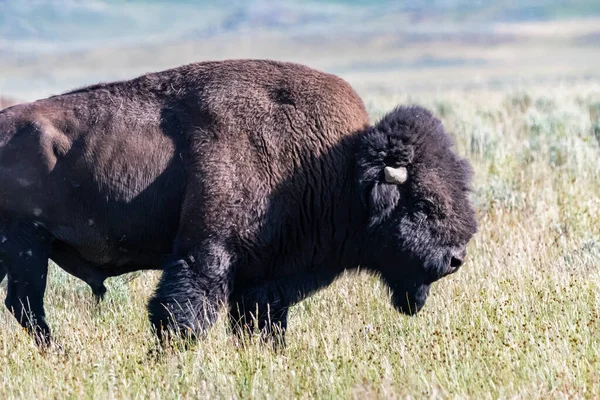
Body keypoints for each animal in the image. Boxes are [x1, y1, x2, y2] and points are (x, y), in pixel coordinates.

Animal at [0, 59, 478, 346]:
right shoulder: (207, 253)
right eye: (421, 204)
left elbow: (261, 323)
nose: (456, 258)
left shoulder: (265, 280)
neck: (334, 164)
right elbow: (180, 316)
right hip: (26, 245)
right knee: (28, 306)